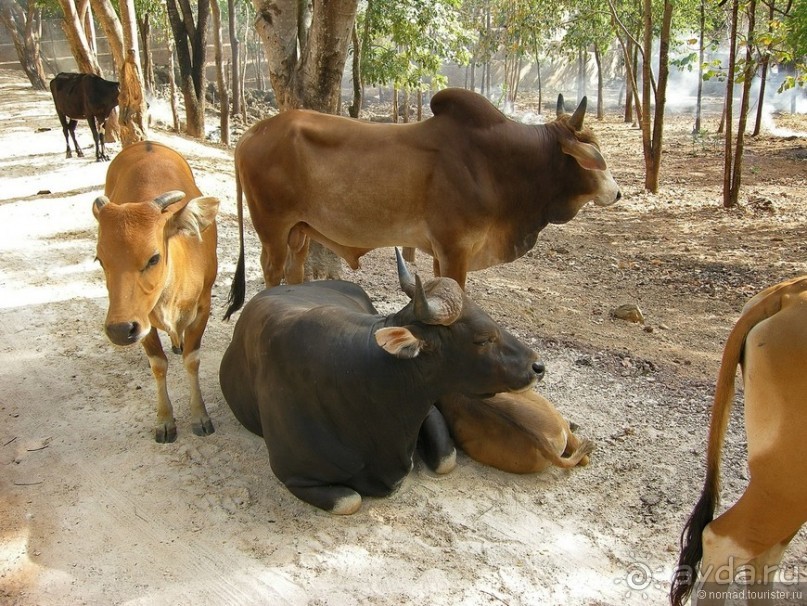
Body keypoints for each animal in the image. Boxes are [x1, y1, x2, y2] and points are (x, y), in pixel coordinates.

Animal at [93, 143, 219, 446]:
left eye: (153, 257)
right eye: (100, 260)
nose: (119, 330)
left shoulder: (203, 307)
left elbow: (192, 360)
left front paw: (200, 416)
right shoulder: (142, 321)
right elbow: (158, 365)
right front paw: (164, 421)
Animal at [218, 249, 548, 516]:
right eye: (482, 338)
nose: (537, 366)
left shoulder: (427, 411)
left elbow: (446, 460)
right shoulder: (295, 476)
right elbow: (350, 500)